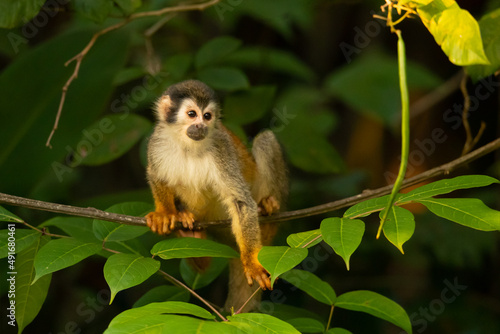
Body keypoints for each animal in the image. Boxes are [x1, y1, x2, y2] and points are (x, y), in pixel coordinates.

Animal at [145, 79, 288, 292]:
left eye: (207, 116)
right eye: (192, 114)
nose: (201, 126)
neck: (187, 144)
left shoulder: (222, 147)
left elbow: (240, 201)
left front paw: (252, 262)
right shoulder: (157, 142)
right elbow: (156, 174)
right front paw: (165, 212)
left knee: (265, 140)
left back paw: (268, 207)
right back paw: (190, 231)